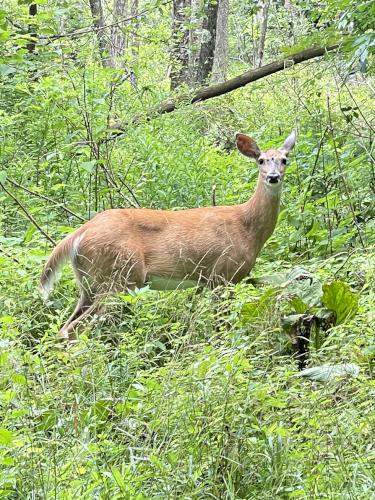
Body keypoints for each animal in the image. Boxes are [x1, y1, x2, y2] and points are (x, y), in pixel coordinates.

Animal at [40, 129, 296, 340]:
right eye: (261, 160)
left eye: (284, 159)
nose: (273, 176)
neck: (247, 227)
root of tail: (78, 233)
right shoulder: (224, 274)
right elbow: (222, 322)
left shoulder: (210, 280)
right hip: (119, 276)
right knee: (74, 329)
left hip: (89, 284)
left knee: (67, 327)